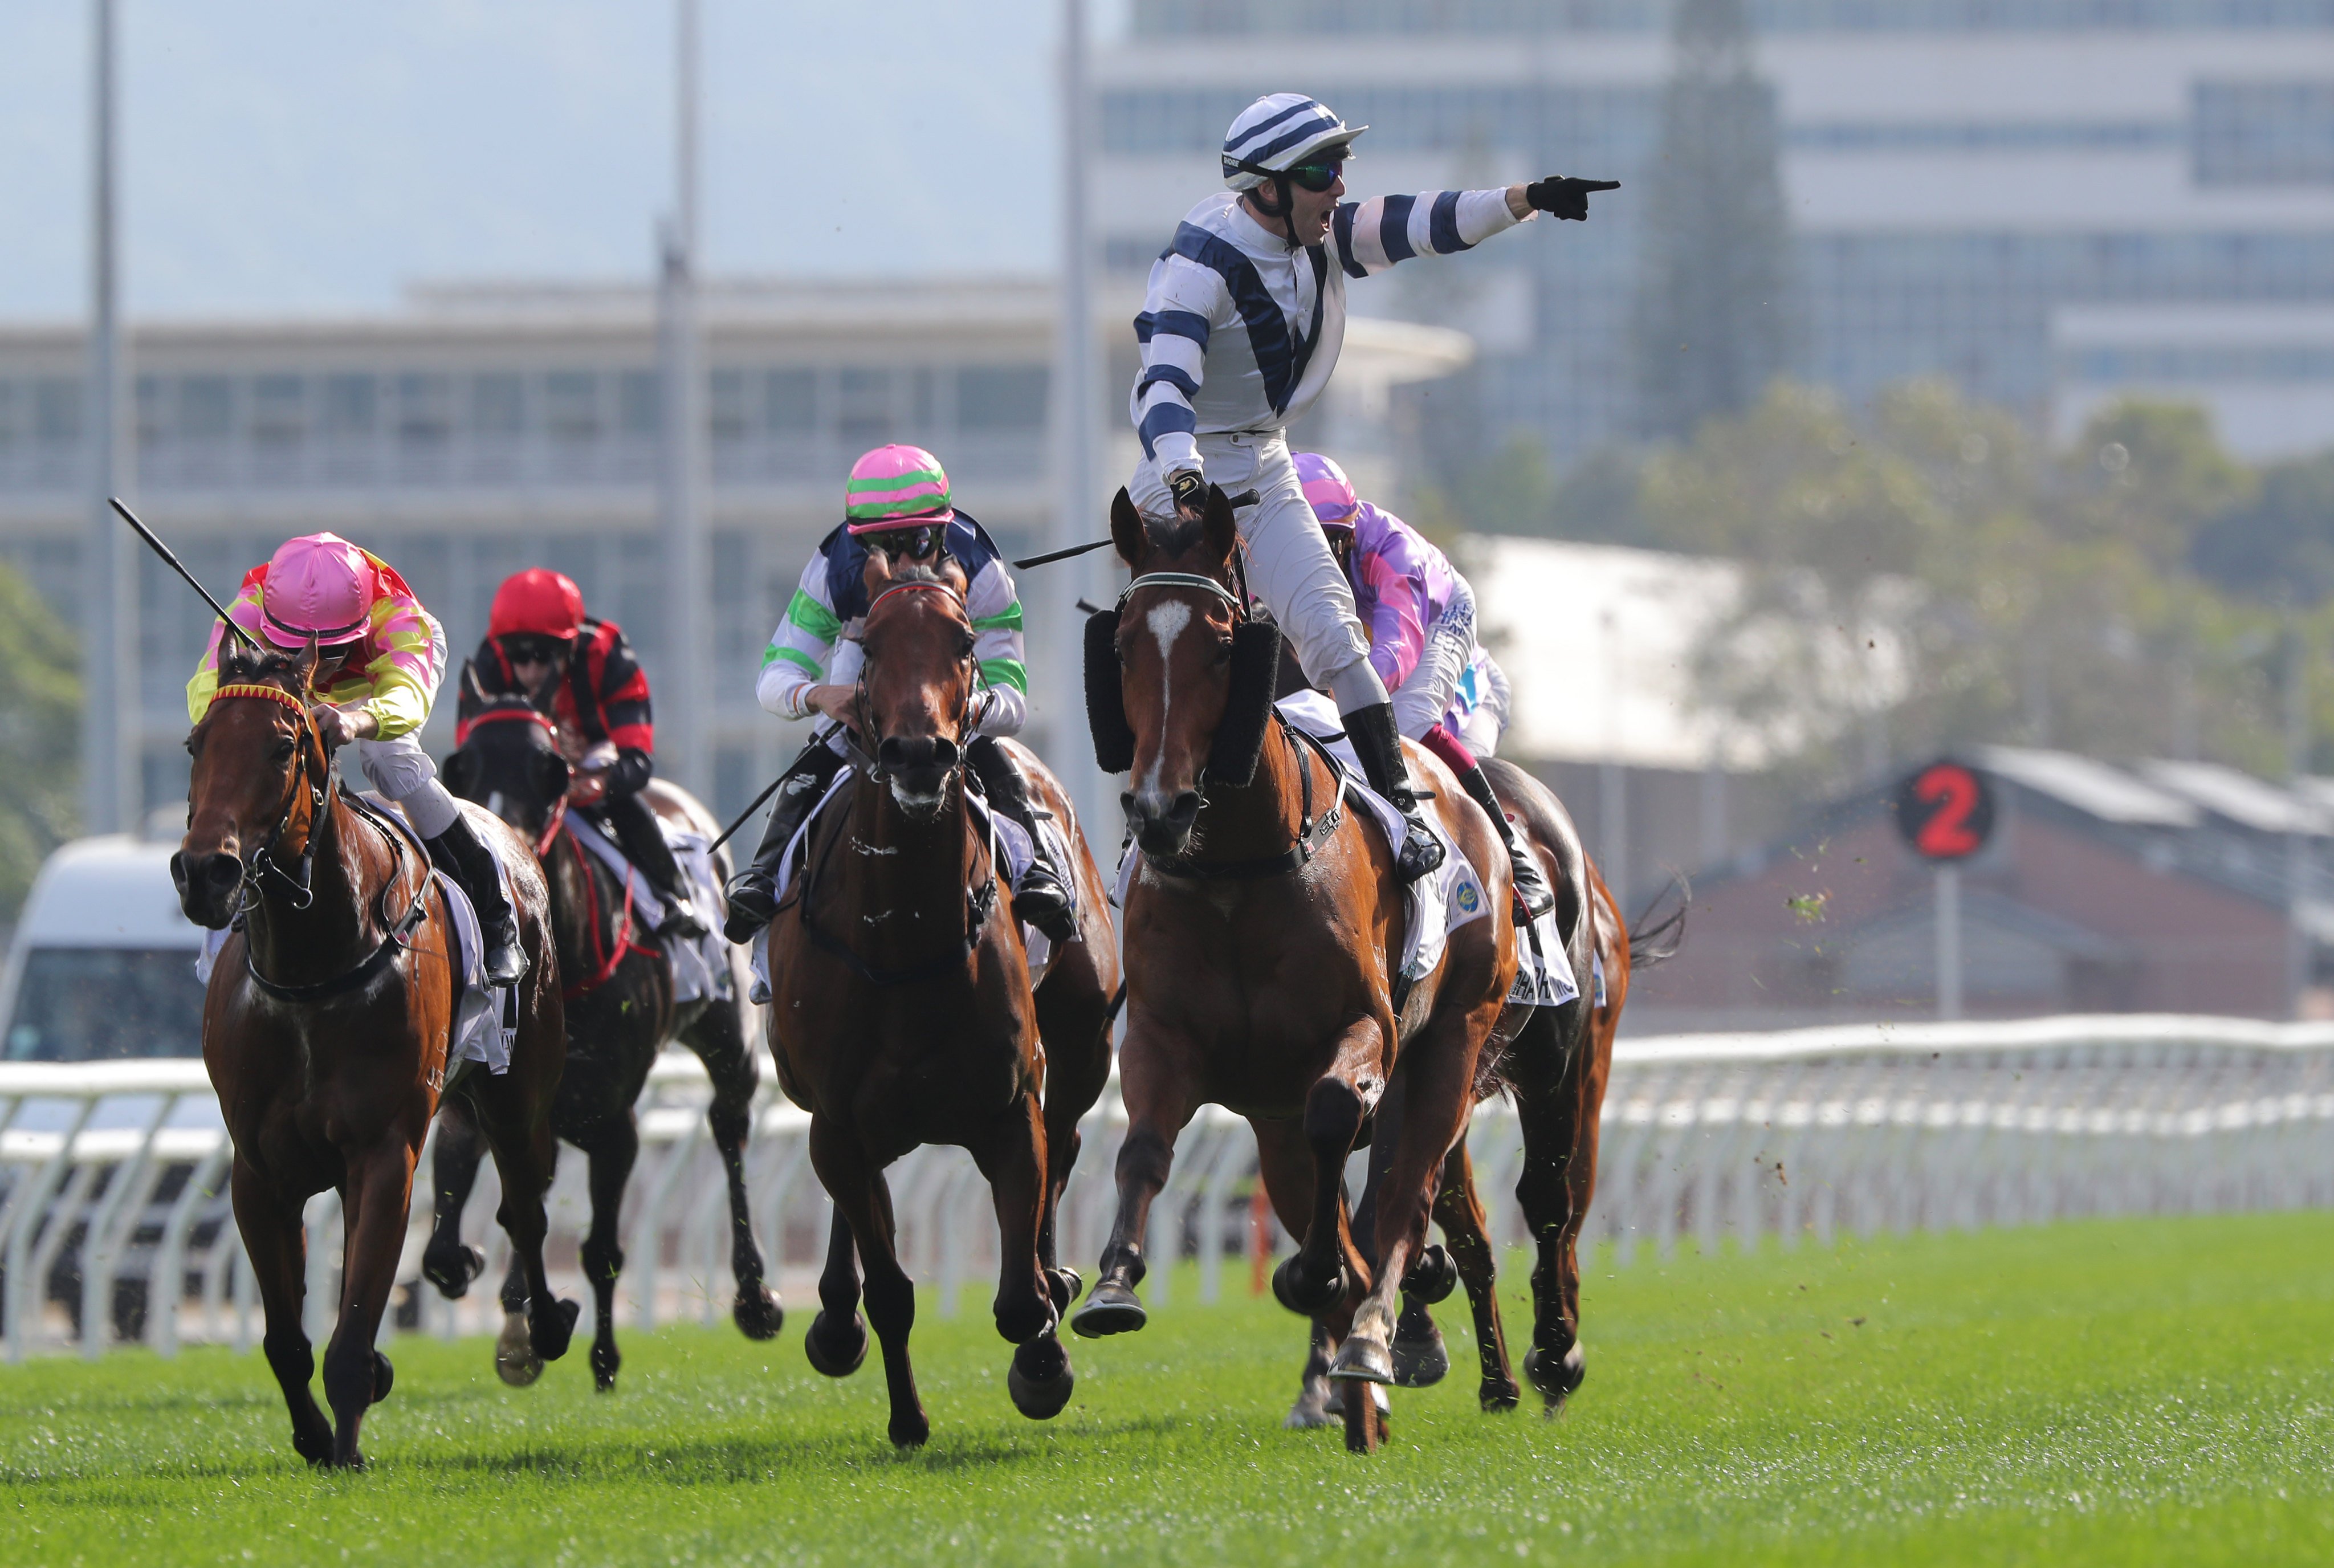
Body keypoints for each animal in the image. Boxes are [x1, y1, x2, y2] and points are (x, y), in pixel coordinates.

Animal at [174, 639, 574, 1475]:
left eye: (283, 746)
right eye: (197, 745)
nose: (205, 872)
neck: (310, 970)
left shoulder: (386, 1150)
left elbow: (354, 1331)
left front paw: (349, 1443)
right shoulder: (259, 1169)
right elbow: (286, 1338)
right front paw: (314, 1435)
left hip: (519, 1092)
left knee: (525, 1205)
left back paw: (545, 1326)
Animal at [1069, 483, 1521, 1456]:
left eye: (1220, 643)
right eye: (1121, 645)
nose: (1159, 810)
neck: (1237, 869)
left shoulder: (1363, 1029)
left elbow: (1338, 1126)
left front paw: (1330, 1283)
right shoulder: (1164, 1036)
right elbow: (1143, 1144)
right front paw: (1114, 1281)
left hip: (1453, 1042)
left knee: (1406, 1196)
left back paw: (1376, 1340)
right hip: (1274, 1110)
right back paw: (1357, 1384)